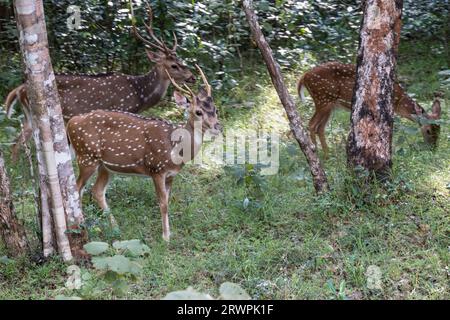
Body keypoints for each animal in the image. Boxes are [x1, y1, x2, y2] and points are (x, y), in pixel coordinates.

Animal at [3, 1, 194, 156]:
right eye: (174, 66)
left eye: (180, 60)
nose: (192, 77)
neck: (140, 93)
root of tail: (20, 88)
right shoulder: (121, 108)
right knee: (19, 143)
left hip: (28, 115)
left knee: (17, 142)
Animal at [67, 64, 221, 240]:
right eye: (198, 112)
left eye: (215, 109)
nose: (217, 127)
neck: (176, 148)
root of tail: (71, 122)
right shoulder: (156, 169)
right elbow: (163, 203)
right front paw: (165, 237)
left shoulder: (171, 175)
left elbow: (167, 200)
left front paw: (168, 234)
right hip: (86, 156)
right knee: (77, 188)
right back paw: (83, 225)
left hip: (104, 166)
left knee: (97, 191)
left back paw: (115, 227)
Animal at [298, 61, 442, 158]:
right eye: (428, 131)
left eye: (439, 130)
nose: (433, 148)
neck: (398, 102)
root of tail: (304, 77)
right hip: (323, 99)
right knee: (311, 124)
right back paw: (316, 153)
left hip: (329, 104)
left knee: (320, 128)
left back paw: (328, 155)